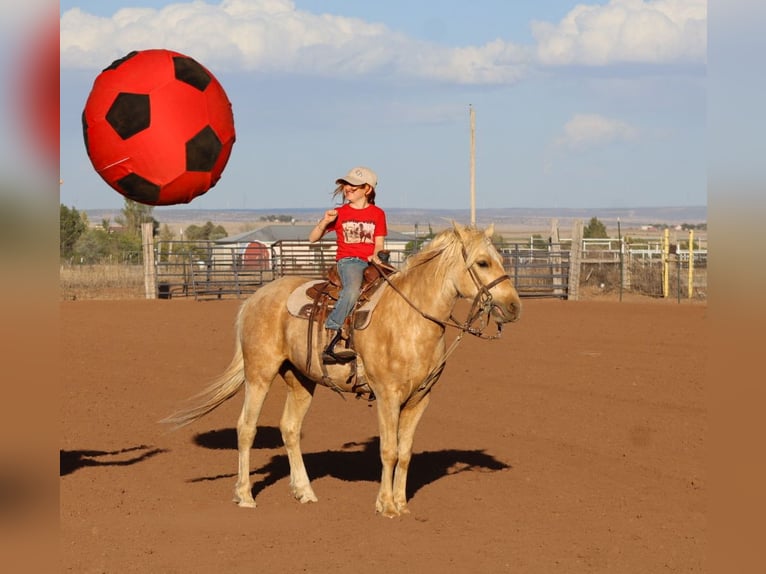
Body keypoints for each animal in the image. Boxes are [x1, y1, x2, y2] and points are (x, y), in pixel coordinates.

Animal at [163, 222, 522, 517]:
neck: (411, 319)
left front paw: (402, 504)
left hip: (301, 379)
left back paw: (304, 491)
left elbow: (405, 452)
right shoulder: (387, 396)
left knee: (289, 429)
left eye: (501, 259)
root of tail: (254, 298)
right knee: (246, 428)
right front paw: (386, 506)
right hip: (259, 373)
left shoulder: (420, 398)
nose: (514, 306)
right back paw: (245, 496)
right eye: (482, 263)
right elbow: (389, 450)